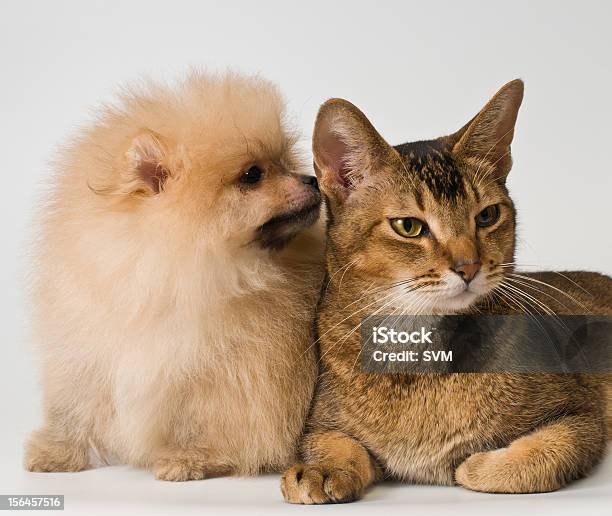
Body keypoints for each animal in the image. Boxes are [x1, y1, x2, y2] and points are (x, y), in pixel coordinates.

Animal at [24, 71, 326, 480]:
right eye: (253, 174)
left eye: (283, 162)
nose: (312, 180)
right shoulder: (92, 349)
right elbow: (78, 408)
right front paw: (57, 451)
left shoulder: (235, 372)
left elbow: (217, 420)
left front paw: (191, 455)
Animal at [282, 80, 612, 504]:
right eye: (408, 226)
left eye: (487, 216)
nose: (468, 266)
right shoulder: (321, 420)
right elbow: (334, 442)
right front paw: (323, 469)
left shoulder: (580, 415)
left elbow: (529, 459)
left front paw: (474, 464)